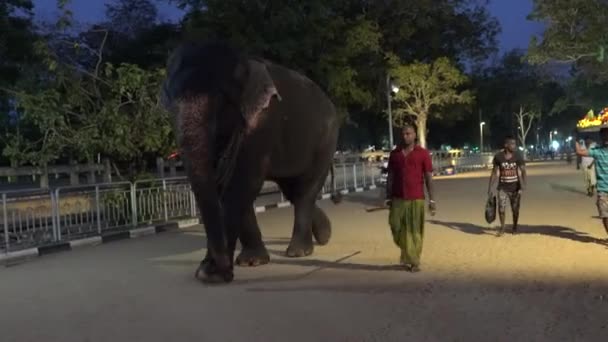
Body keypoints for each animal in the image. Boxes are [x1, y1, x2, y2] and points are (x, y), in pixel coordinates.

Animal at [162, 40, 342, 284]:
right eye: (170, 106)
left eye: (221, 101)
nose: (218, 270)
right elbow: (226, 183)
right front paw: (250, 262)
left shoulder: (264, 121)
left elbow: (243, 181)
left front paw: (212, 273)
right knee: (294, 190)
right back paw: (324, 235)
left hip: (326, 141)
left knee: (306, 189)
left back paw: (299, 252)